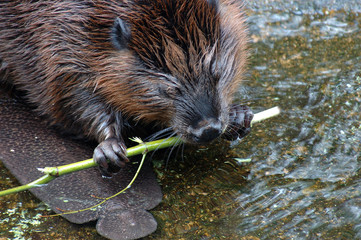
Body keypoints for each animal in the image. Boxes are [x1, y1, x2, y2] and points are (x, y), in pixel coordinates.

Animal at [0, 0, 253, 176]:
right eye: (167, 90)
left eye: (217, 73)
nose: (209, 129)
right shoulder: (60, 49)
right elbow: (73, 100)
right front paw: (109, 149)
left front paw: (240, 116)